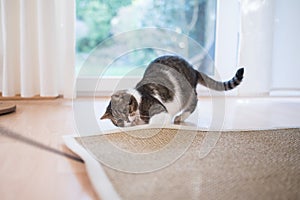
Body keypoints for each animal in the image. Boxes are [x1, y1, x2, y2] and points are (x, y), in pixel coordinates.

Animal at [101, 55, 244, 126]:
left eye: (125, 111)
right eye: (118, 121)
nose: (127, 121)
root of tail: (193, 69)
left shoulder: (160, 111)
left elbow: (153, 123)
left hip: (189, 94)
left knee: (194, 102)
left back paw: (180, 117)